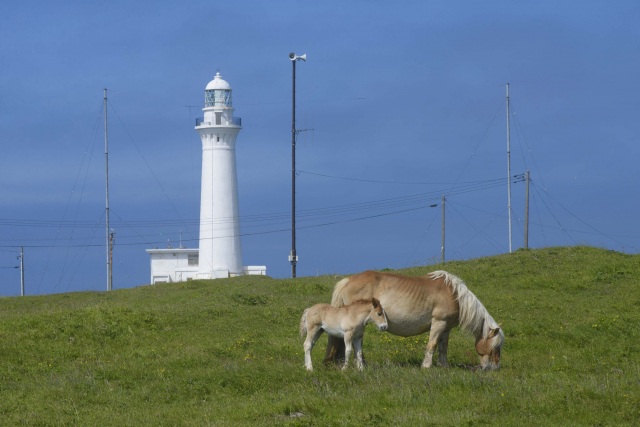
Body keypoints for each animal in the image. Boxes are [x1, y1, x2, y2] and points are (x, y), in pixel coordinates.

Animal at [324, 270, 504, 372]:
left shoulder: (445, 328)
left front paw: (443, 367)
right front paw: (426, 367)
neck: (454, 295)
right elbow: (432, 345)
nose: (494, 369)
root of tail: (348, 280)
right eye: (496, 347)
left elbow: (443, 348)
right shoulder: (438, 323)